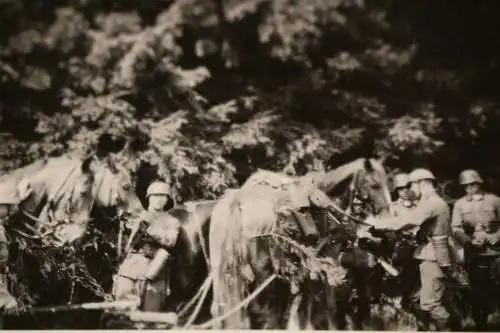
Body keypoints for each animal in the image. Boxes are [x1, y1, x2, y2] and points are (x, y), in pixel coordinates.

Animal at [208, 157, 394, 328]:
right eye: (374, 185)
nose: (389, 217)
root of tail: (237, 202)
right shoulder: (325, 262)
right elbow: (324, 306)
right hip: (262, 272)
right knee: (259, 310)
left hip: (224, 271)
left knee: (222, 308)